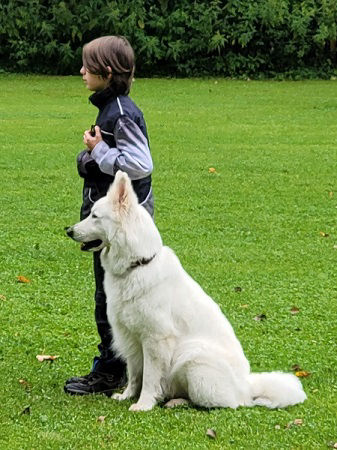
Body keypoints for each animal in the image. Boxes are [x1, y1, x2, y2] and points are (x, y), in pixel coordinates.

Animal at [67, 171, 306, 412]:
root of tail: (247, 386)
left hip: (191, 354)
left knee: (228, 403)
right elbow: (134, 374)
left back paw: (178, 401)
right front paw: (127, 396)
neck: (138, 265)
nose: (68, 230)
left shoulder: (155, 340)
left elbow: (150, 378)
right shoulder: (131, 338)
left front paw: (143, 404)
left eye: (95, 216)